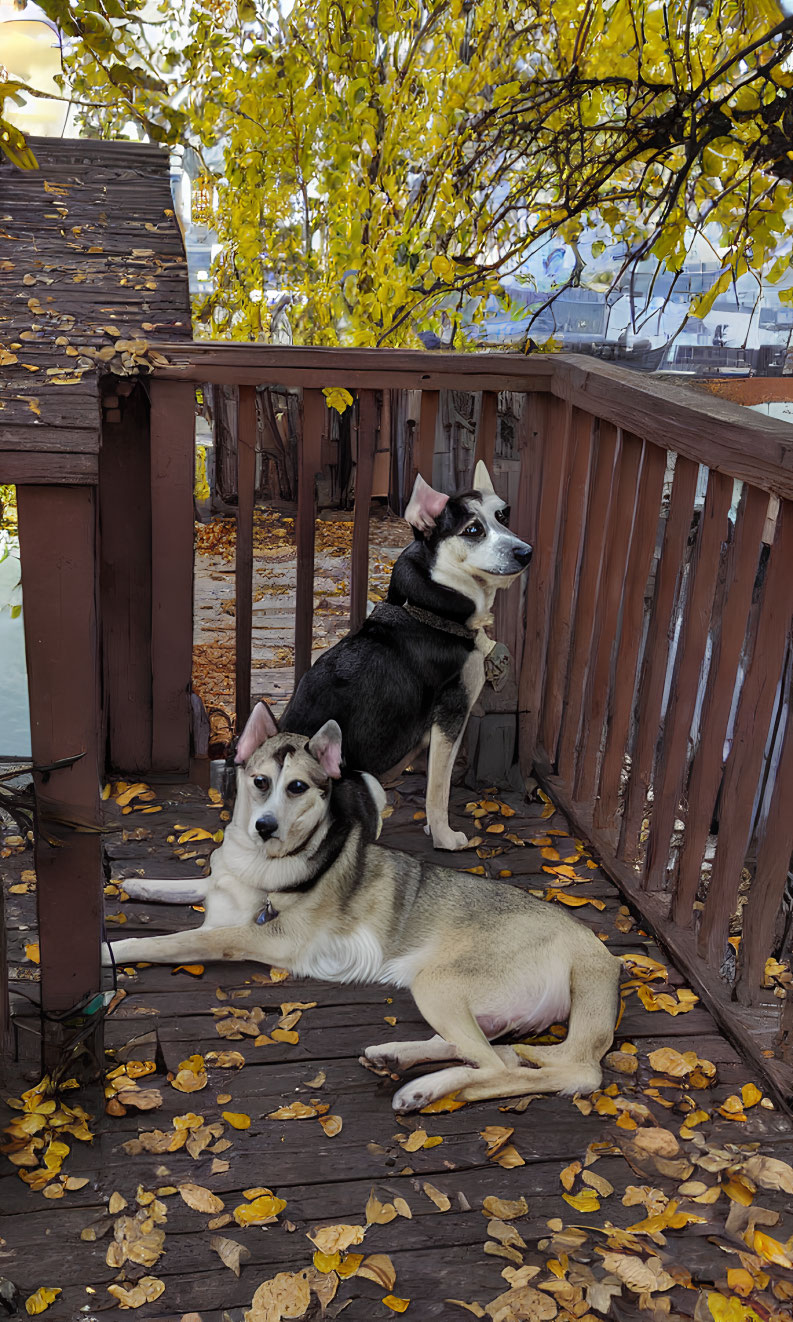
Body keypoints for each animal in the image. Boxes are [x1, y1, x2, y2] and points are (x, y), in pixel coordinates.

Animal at [105, 719, 623, 1110]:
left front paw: (113, 948)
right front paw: (132, 884)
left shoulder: (257, 936)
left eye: (297, 788)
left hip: (439, 983)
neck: (264, 859)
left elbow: (172, 941)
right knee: (494, 1053)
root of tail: (595, 951)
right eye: (260, 783)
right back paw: (394, 1059)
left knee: (500, 1064)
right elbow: (188, 884)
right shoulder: (221, 888)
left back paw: (421, 1089)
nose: (265, 826)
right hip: (471, 1005)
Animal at [237, 465, 528, 851]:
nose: (526, 552)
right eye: (473, 530)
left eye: (504, 515)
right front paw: (444, 836)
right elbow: (438, 789)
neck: (429, 609)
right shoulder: (452, 713)